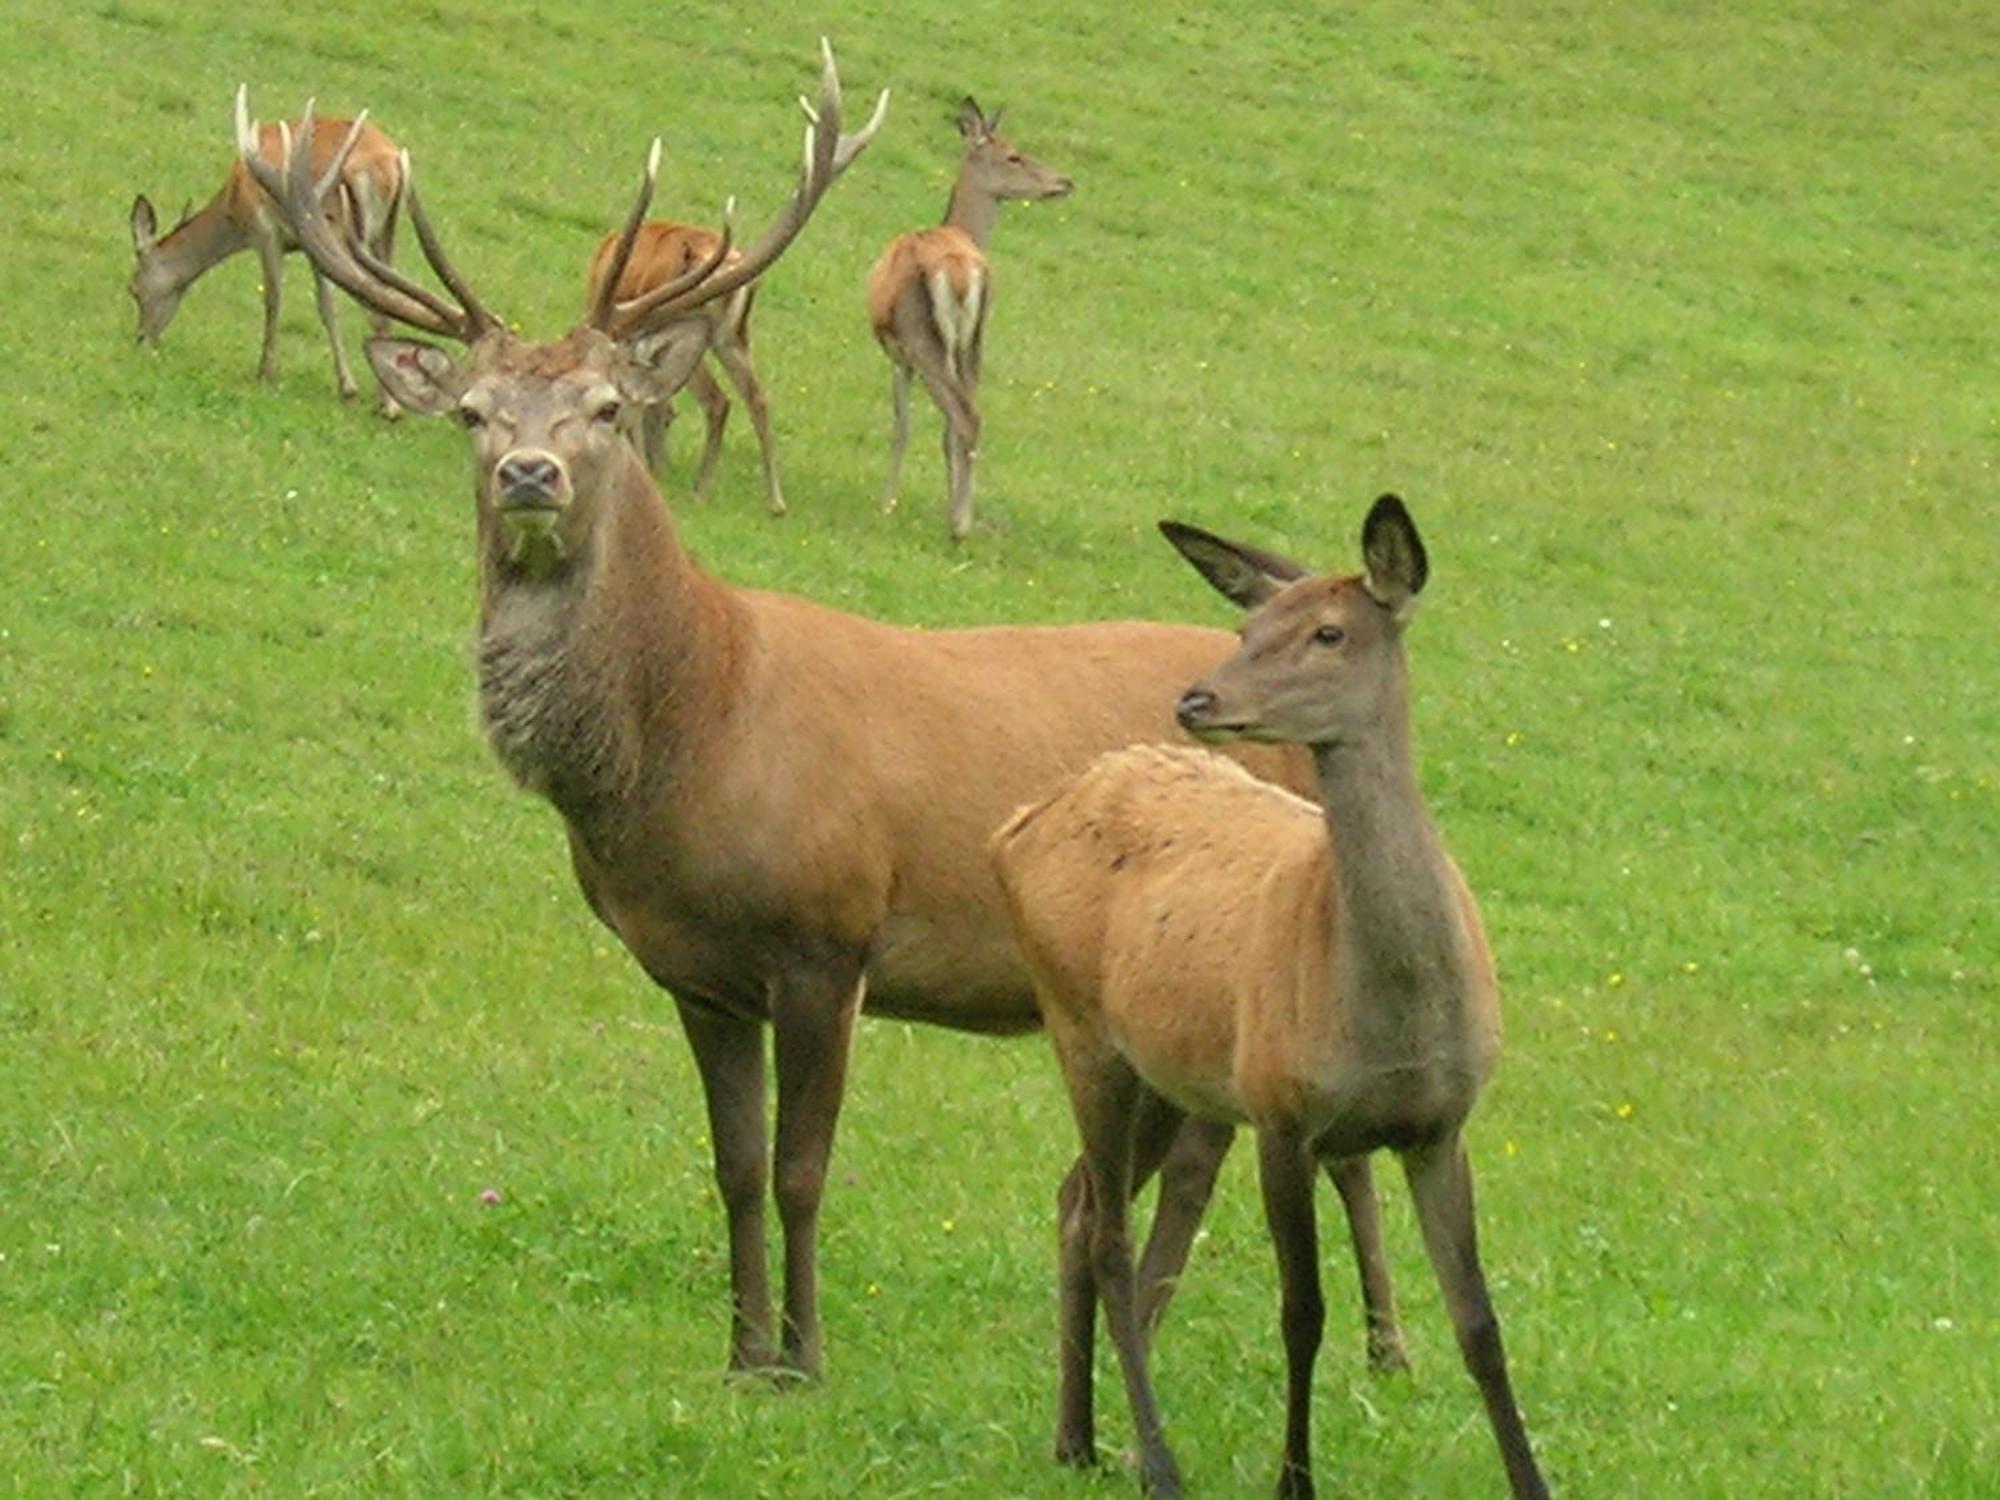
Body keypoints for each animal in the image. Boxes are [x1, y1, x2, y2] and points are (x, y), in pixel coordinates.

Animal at [130, 96, 406, 414]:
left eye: (133, 289)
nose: (141, 338)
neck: (233, 209)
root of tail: (388, 167)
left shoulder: (267, 232)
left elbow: (274, 299)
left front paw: (266, 373)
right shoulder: (308, 246)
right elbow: (327, 305)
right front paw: (347, 387)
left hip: (345, 231)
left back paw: (390, 405)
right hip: (383, 233)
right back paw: (388, 400)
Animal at [864, 95, 1072, 540]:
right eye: (1013, 155)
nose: (1065, 182)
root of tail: (961, 268)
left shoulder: (899, 355)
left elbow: (901, 425)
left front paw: (887, 504)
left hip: (923, 339)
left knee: (964, 414)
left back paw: (959, 526)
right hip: (975, 340)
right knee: (968, 415)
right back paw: (964, 516)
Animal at [992, 502, 1552, 1500]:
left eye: (1329, 632)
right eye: (1247, 630)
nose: (1197, 700)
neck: (1394, 1012)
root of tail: (1019, 822)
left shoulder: (1442, 1125)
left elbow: (1481, 1326)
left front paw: (1534, 1480)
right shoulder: (1282, 1112)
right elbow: (1303, 1312)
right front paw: (1295, 1478)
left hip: (1162, 1070)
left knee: (1074, 1200)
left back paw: (1077, 1437)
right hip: (1080, 1027)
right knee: (1108, 1236)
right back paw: (1155, 1460)